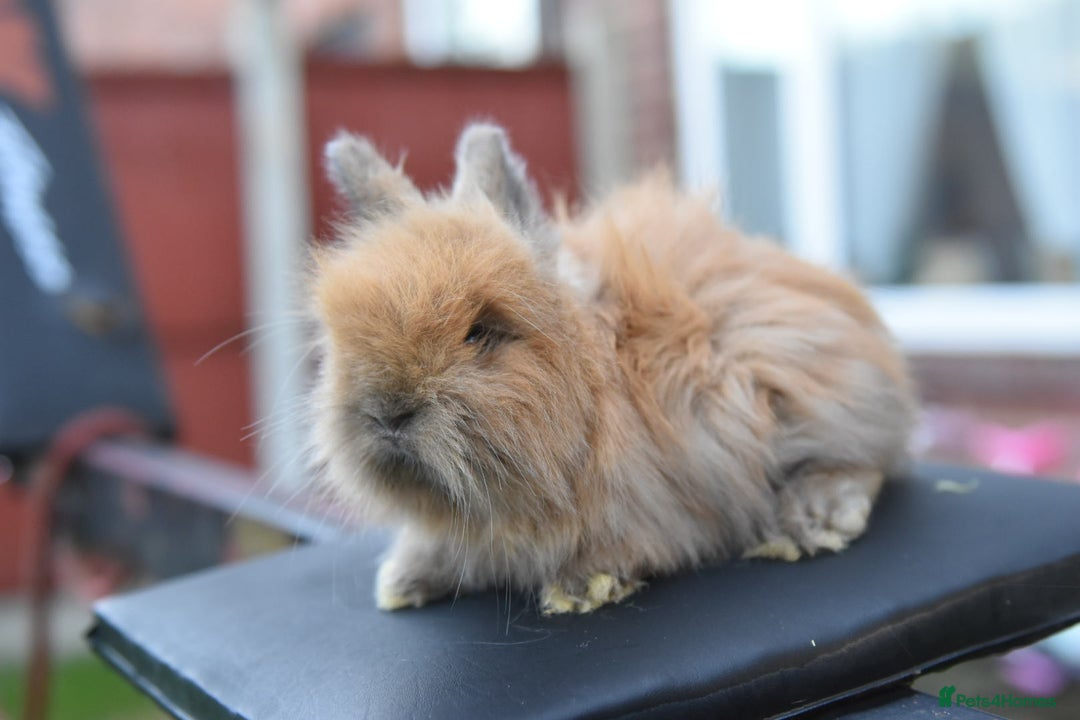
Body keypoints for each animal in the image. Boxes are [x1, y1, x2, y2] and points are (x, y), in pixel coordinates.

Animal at [307, 122, 916, 615]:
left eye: (480, 331)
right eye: (343, 335)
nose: (387, 413)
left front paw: (580, 589)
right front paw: (401, 582)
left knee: (864, 462)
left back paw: (814, 522)